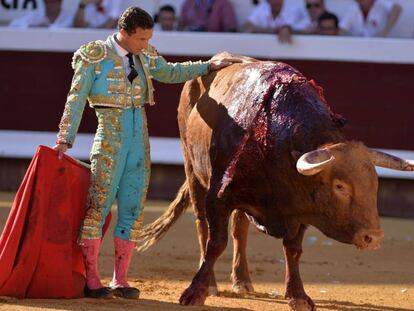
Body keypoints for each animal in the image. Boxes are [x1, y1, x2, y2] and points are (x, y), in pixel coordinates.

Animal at [138, 54, 414, 311]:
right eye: (339, 186)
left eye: (374, 184)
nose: (373, 237)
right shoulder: (218, 195)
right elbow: (216, 243)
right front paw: (195, 292)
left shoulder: (300, 209)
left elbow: (293, 249)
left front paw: (298, 295)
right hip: (193, 170)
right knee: (202, 224)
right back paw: (214, 284)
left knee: (239, 229)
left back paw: (242, 280)